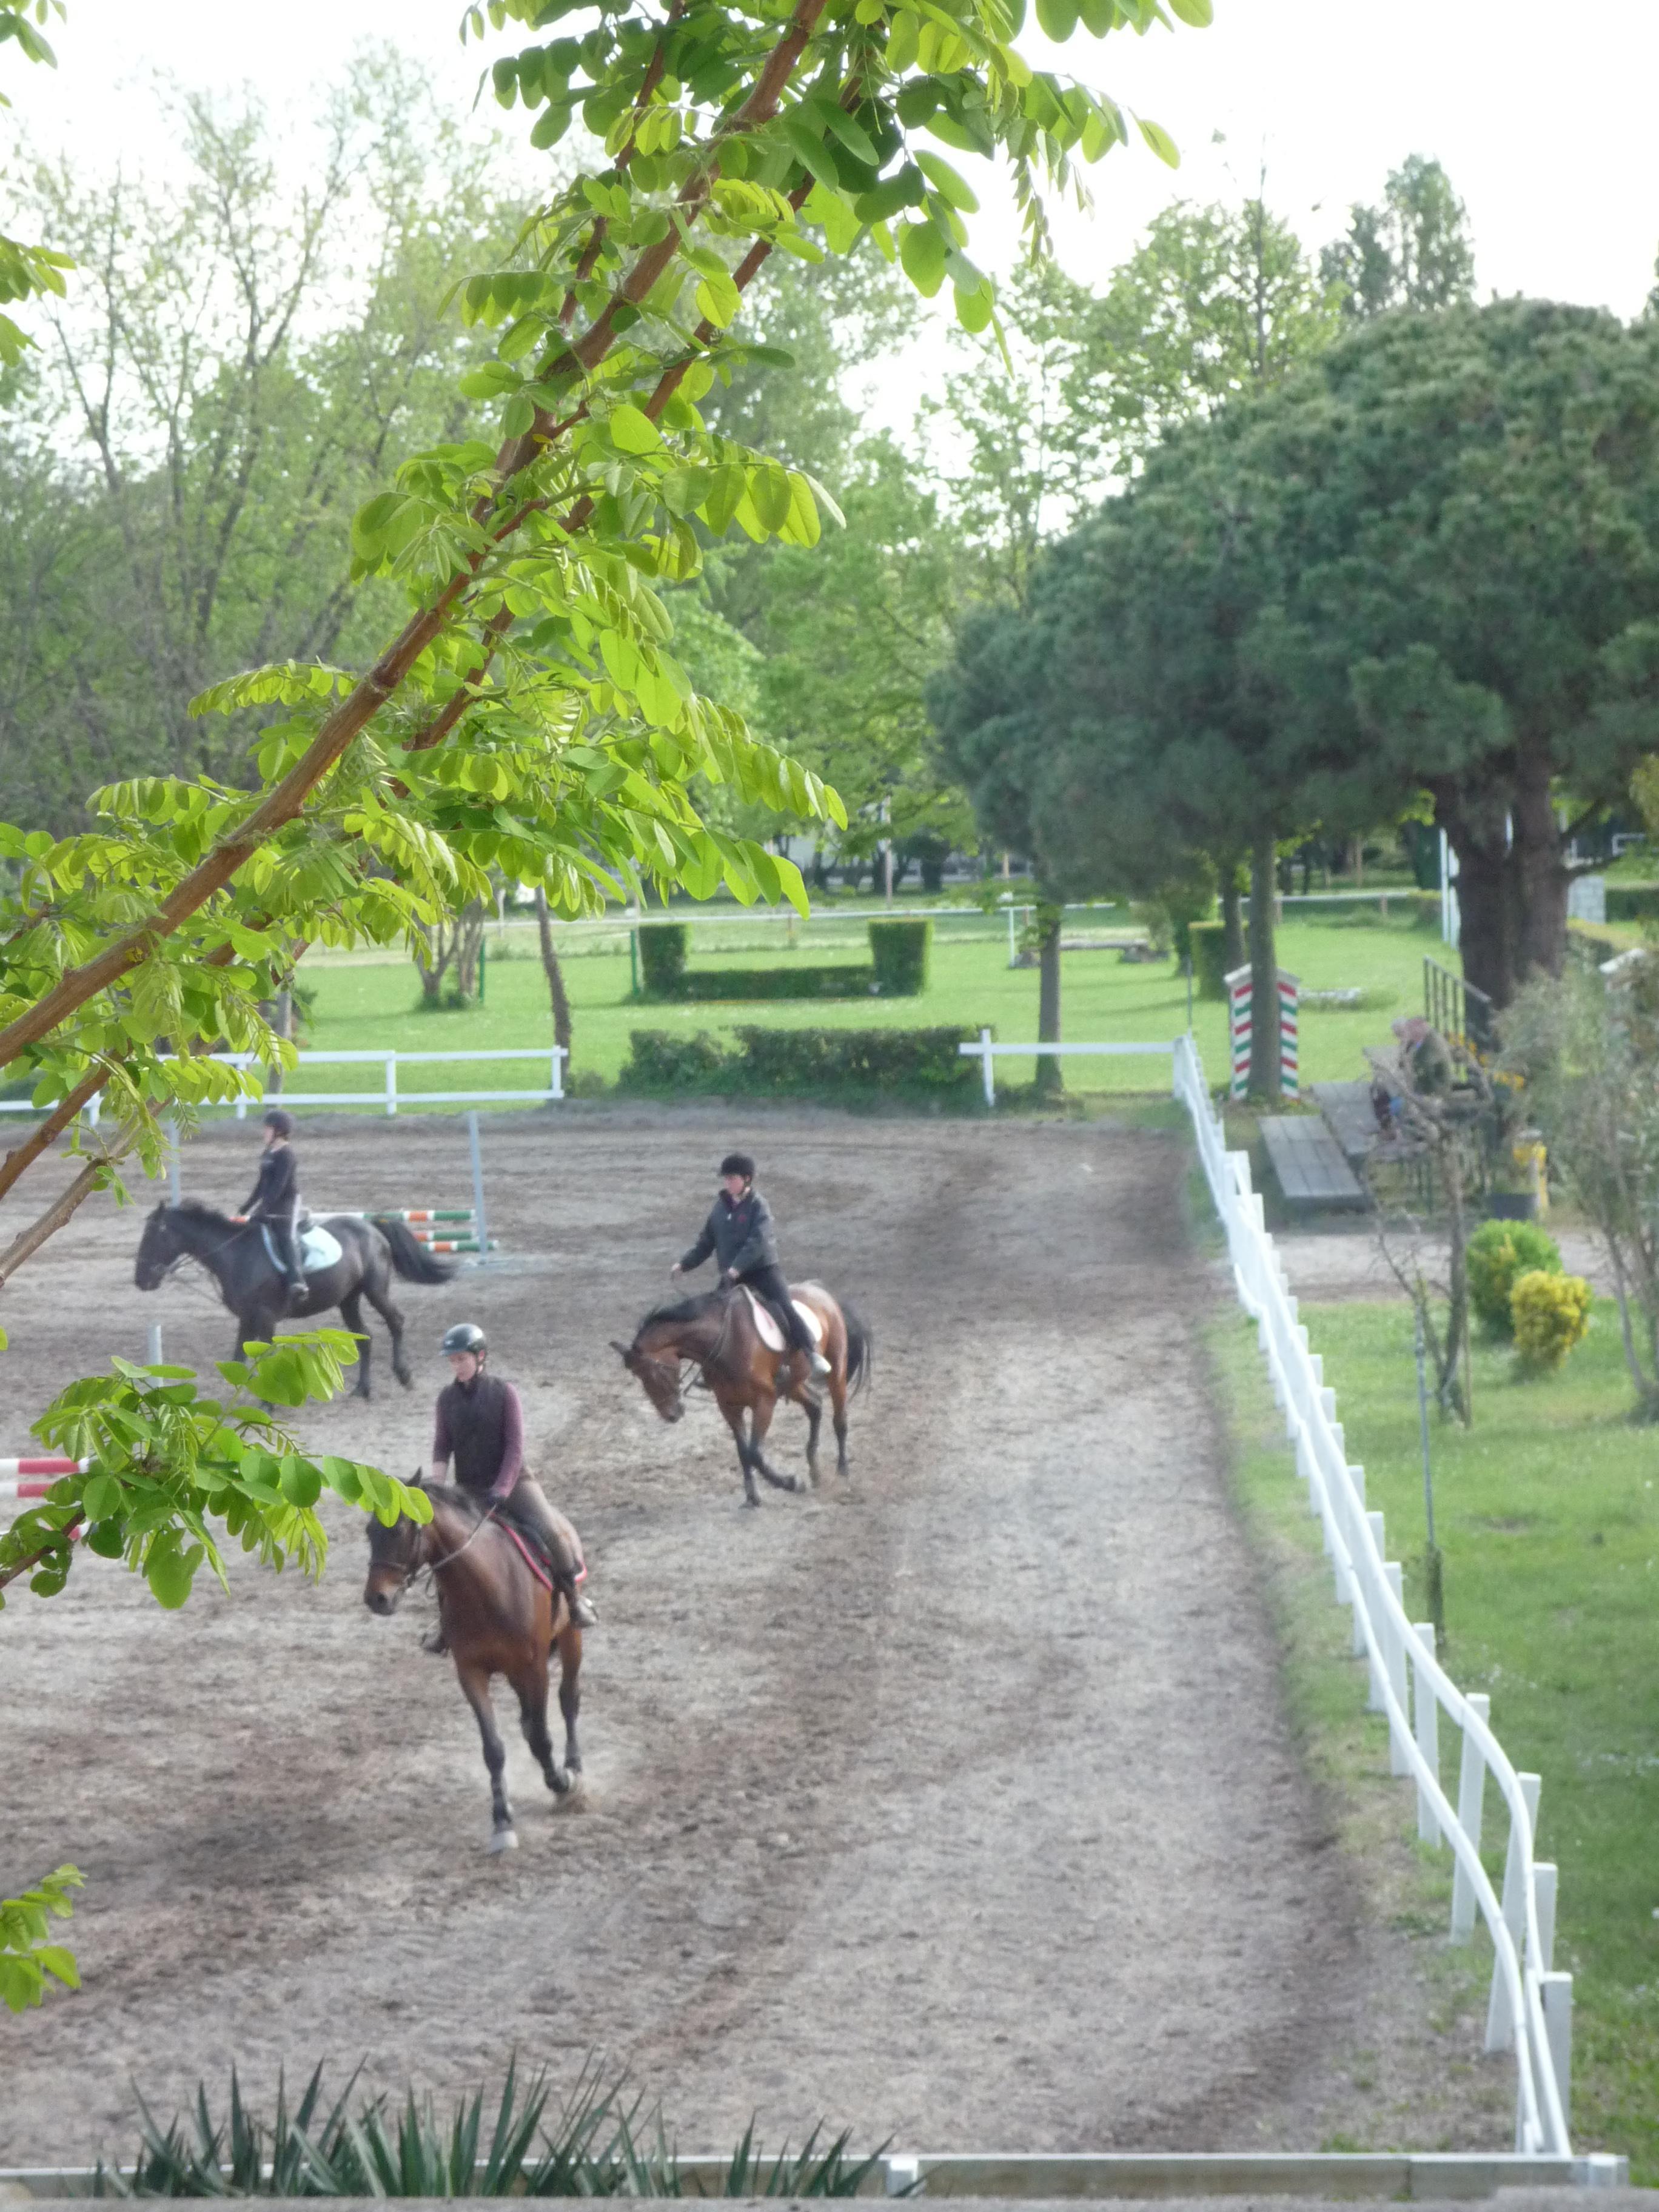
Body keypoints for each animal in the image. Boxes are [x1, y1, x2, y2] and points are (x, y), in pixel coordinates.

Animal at [133, 1203, 455, 1389]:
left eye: (153, 1234)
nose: (140, 1280)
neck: (237, 1255)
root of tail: (372, 1227)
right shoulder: (247, 1318)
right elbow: (239, 1357)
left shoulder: (266, 1318)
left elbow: (264, 1355)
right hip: (348, 1299)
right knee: (365, 1335)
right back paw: (363, 1389)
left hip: (375, 1290)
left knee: (396, 1321)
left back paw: (404, 1375)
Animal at [367, 1486, 588, 1849]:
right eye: (369, 1532)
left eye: (398, 1530)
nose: (376, 1599)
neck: (485, 1587)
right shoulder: (471, 1672)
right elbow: (494, 1749)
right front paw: (502, 1822)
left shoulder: (535, 1668)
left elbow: (542, 1737)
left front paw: (562, 1783)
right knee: (528, 1720)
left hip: (570, 1639)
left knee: (568, 1699)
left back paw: (574, 1768)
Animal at [610, 1282, 871, 1504]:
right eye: (639, 1377)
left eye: (655, 1372)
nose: (671, 1415)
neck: (726, 1342)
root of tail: (822, 1292)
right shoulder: (729, 1406)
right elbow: (743, 1451)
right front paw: (752, 1497)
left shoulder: (764, 1402)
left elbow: (755, 1453)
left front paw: (790, 1483)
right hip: (792, 1383)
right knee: (815, 1405)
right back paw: (816, 1472)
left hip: (836, 1372)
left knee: (840, 1421)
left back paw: (842, 1474)